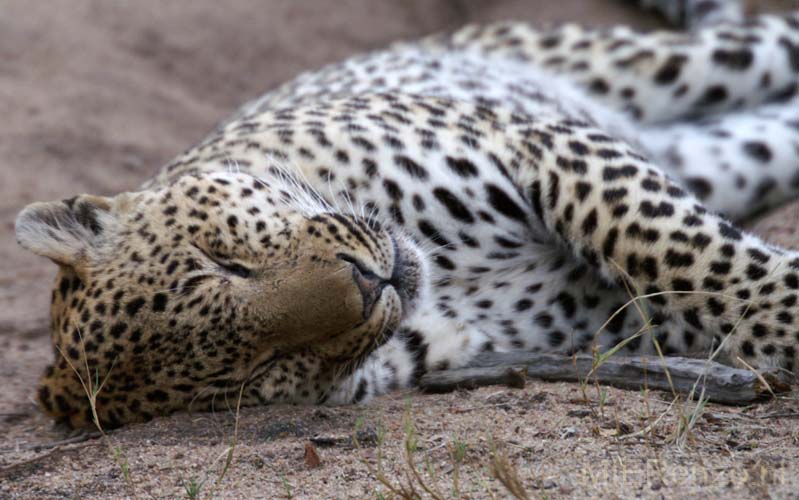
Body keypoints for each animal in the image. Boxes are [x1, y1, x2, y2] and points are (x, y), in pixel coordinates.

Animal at [12, 0, 799, 430]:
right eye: (261, 364)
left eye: (225, 261)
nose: (370, 283)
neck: (443, 278)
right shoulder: (599, 313)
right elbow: (691, 284)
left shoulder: (533, 145)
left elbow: (674, 247)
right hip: (726, 151)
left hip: (673, 64)